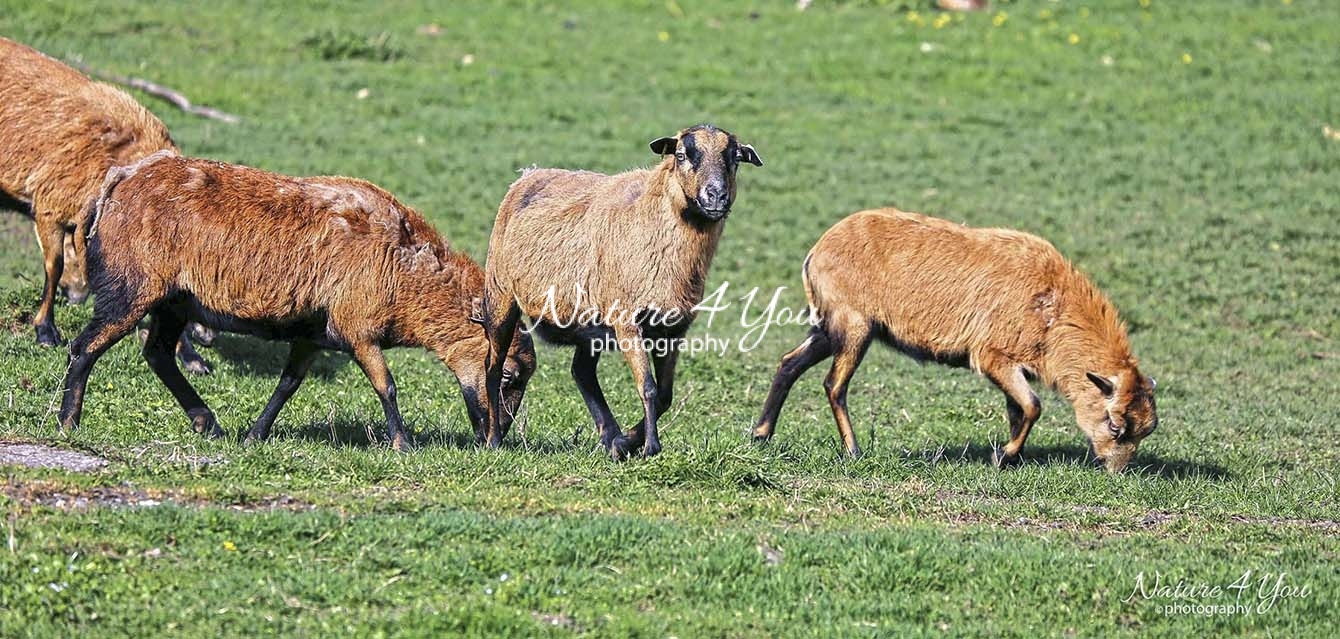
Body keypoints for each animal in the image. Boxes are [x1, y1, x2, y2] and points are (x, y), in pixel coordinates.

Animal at [57, 152, 536, 450]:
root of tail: (118, 181)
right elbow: (387, 385)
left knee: (157, 353)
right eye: (507, 374)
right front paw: (403, 444)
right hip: (130, 288)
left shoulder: (313, 333)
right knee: (84, 348)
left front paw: (255, 435)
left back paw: (207, 422)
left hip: (175, 302)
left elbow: (288, 384)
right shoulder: (356, 328)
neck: (404, 267)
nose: (496, 440)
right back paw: (68, 422)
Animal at [478, 125, 762, 459]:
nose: (716, 195)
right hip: (501, 295)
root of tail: (529, 174)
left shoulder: (673, 329)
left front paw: (627, 442)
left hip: (588, 325)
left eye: (735, 158)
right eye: (681, 155)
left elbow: (665, 394)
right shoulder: (627, 320)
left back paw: (611, 437)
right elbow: (649, 388)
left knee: (582, 372)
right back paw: (494, 439)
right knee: (493, 366)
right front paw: (651, 447)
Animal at [752, 208, 1158, 472]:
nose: (1116, 472)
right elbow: (1032, 406)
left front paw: (1009, 457)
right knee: (834, 385)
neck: (1054, 309)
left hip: (827, 327)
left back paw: (760, 435)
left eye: (1146, 430)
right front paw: (1003, 457)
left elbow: (1017, 410)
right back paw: (852, 451)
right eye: (1115, 426)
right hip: (854, 326)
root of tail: (816, 252)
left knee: (789, 364)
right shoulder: (993, 355)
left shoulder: (1014, 365)